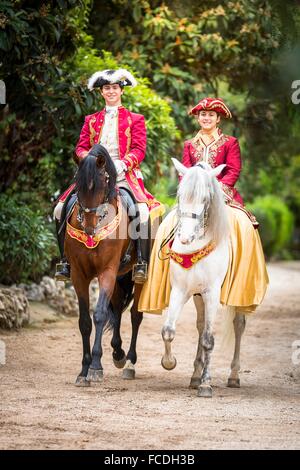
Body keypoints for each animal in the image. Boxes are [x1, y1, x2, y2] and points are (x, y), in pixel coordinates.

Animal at [64, 143, 145, 386]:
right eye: (78, 185)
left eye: (101, 183)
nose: (89, 228)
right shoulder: (78, 275)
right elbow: (84, 321)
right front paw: (83, 370)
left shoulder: (106, 271)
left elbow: (99, 314)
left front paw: (96, 367)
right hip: (119, 276)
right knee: (117, 309)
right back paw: (118, 353)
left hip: (135, 276)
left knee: (135, 315)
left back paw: (130, 363)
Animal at [162, 160, 246, 398]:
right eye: (180, 195)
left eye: (205, 198)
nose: (184, 238)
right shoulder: (180, 290)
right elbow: (168, 331)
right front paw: (169, 362)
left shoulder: (212, 294)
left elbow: (209, 340)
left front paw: (206, 385)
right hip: (197, 295)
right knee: (199, 327)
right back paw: (194, 375)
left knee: (238, 325)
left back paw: (233, 376)